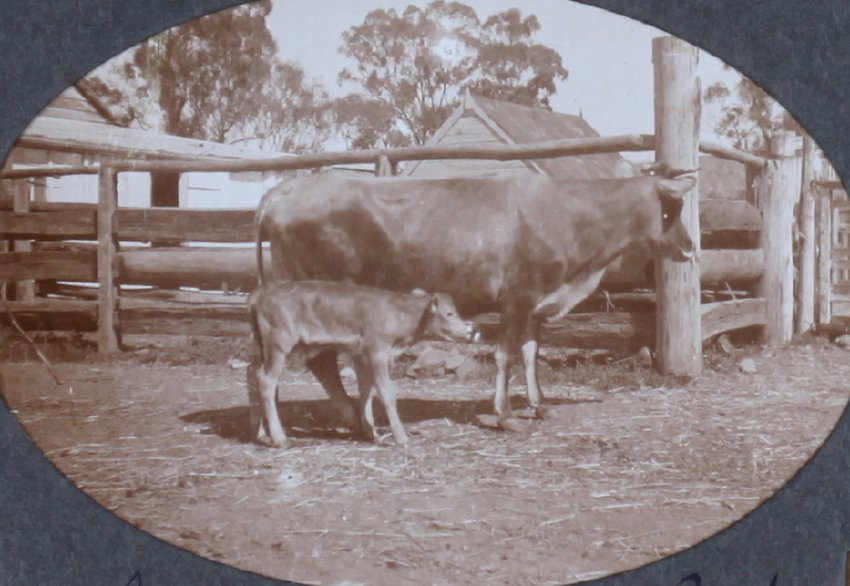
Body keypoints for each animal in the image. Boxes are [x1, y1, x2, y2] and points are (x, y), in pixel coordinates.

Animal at [246, 280, 476, 447]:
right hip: (278, 343)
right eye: (449, 313)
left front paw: (371, 432)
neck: (398, 314)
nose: (470, 330)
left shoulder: (362, 356)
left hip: (263, 347)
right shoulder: (378, 352)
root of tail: (261, 291)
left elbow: (366, 391)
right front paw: (400, 437)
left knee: (255, 375)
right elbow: (386, 393)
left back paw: (261, 433)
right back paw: (279, 438)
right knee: (266, 381)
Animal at [255, 170, 696, 431]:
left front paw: (539, 405)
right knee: (321, 362)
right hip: (318, 300)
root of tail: (282, 190)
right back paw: (350, 418)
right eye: (670, 211)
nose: (691, 248)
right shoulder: (516, 297)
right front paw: (504, 414)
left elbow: (531, 353)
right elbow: (505, 355)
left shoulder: (535, 300)